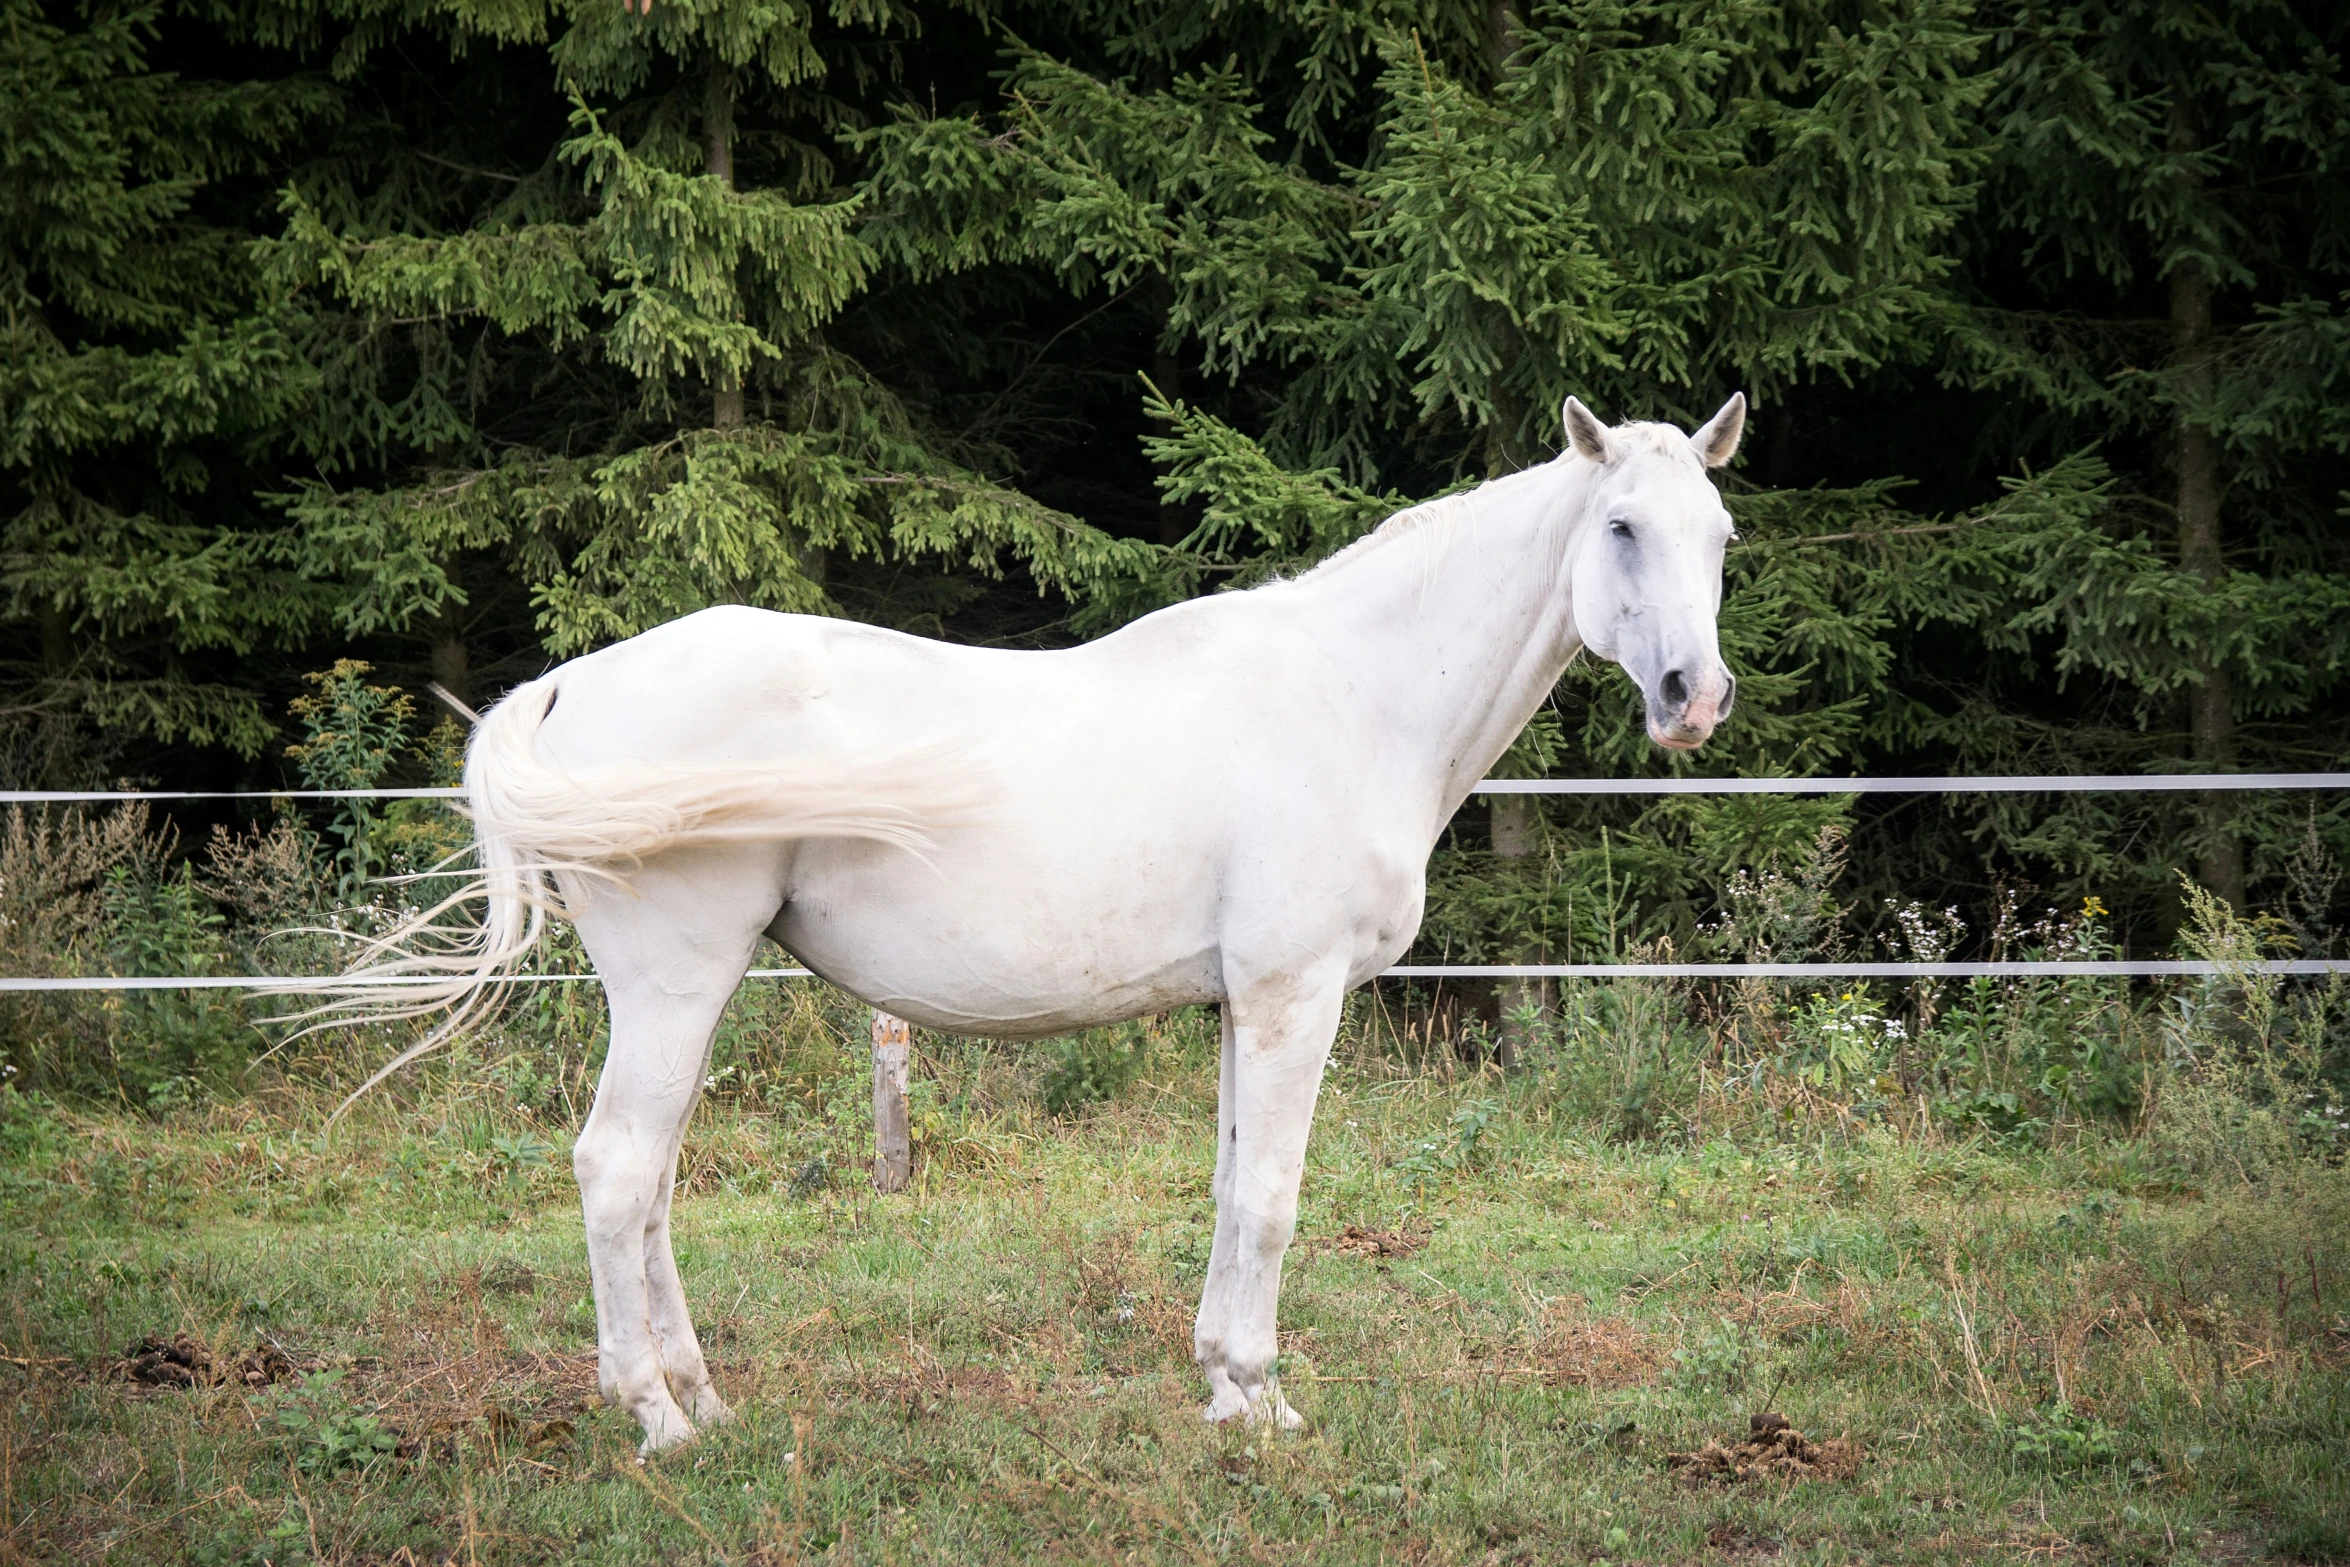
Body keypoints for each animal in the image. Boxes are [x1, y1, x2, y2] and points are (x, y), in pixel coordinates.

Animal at [347, 394, 1748, 1456]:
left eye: (1721, 534)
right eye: (1621, 525)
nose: (1694, 698)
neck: (1353, 694)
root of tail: (576, 682)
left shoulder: (1242, 1002)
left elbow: (1230, 1184)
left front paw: (1224, 1383)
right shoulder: (1293, 993)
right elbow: (1274, 1196)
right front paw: (1261, 1403)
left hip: (682, 995)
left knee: (650, 1186)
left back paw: (702, 1395)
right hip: (675, 983)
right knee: (617, 1170)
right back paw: (659, 1419)